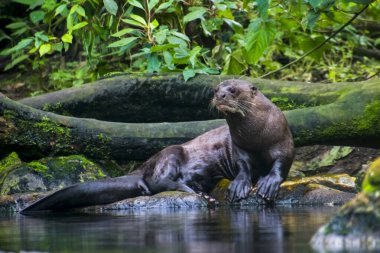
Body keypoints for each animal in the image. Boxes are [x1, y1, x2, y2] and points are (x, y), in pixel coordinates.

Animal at [20, 79, 294, 213]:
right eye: (216, 88)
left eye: (234, 90)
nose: (220, 95)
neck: (256, 136)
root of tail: (140, 168)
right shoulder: (240, 149)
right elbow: (243, 168)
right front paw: (240, 186)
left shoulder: (284, 140)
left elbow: (281, 164)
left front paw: (268, 184)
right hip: (171, 152)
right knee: (161, 182)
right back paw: (200, 194)